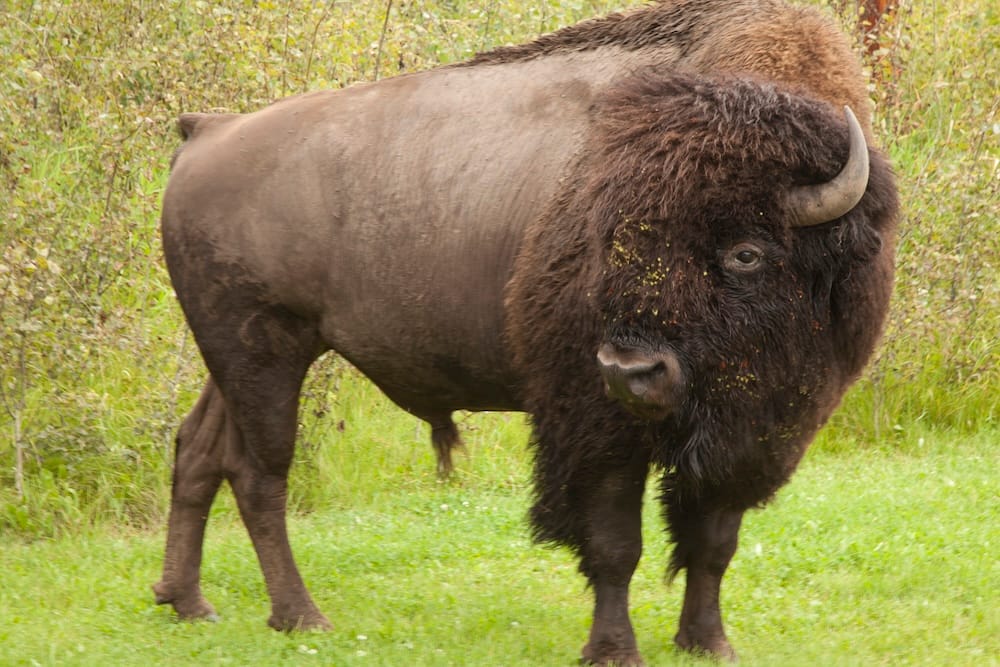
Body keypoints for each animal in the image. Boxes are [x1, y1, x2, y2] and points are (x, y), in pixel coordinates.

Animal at [154, 0, 898, 663]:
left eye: (746, 251)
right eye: (614, 238)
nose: (632, 370)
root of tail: (207, 131)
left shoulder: (751, 435)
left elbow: (713, 542)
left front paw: (708, 643)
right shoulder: (594, 426)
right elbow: (614, 544)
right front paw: (612, 651)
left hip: (238, 360)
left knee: (199, 450)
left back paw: (187, 602)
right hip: (262, 351)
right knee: (259, 473)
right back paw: (301, 616)